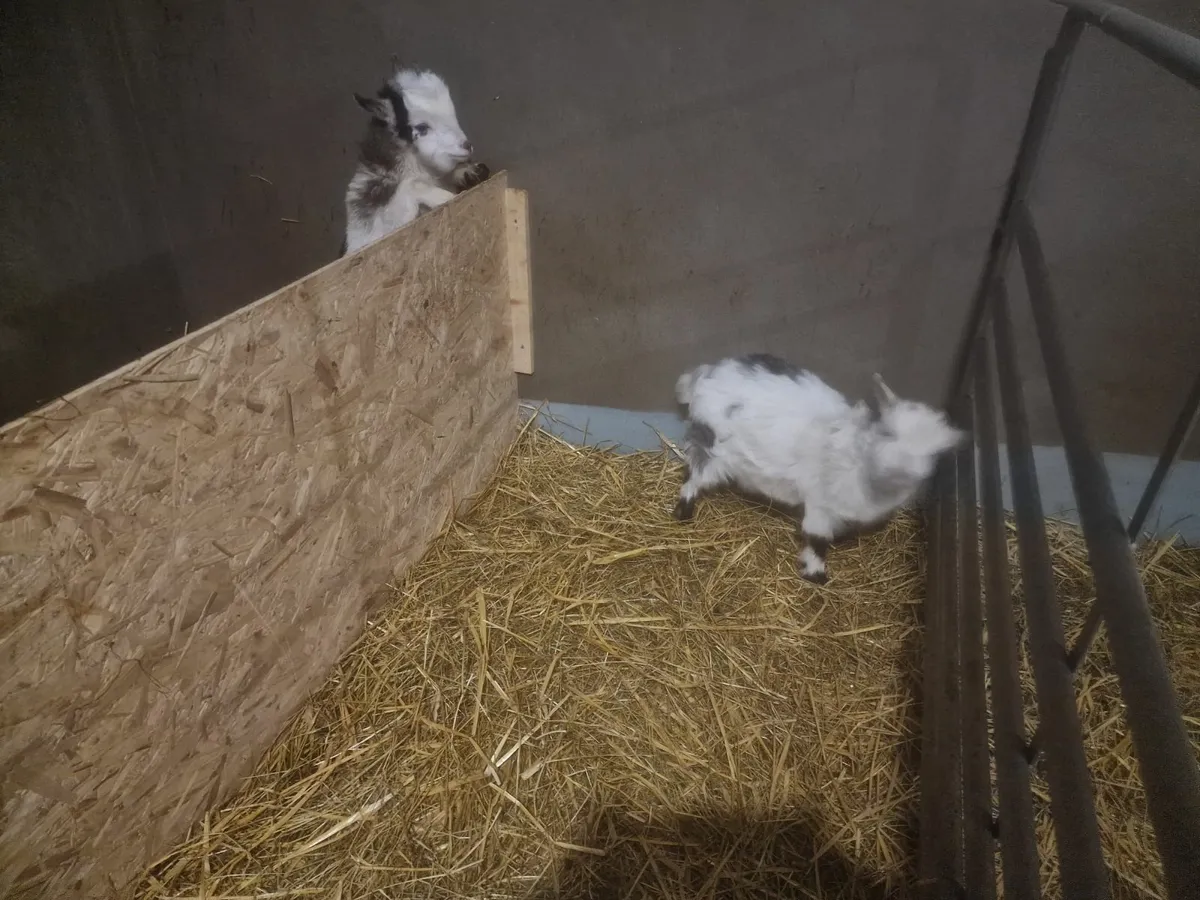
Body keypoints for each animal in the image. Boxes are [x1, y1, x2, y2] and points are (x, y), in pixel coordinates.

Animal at [673, 354, 963, 584]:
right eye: (887, 432)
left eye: (934, 454)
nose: (898, 468)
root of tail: (706, 373)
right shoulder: (821, 504)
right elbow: (818, 538)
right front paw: (816, 575)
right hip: (711, 445)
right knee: (694, 476)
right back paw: (683, 511)